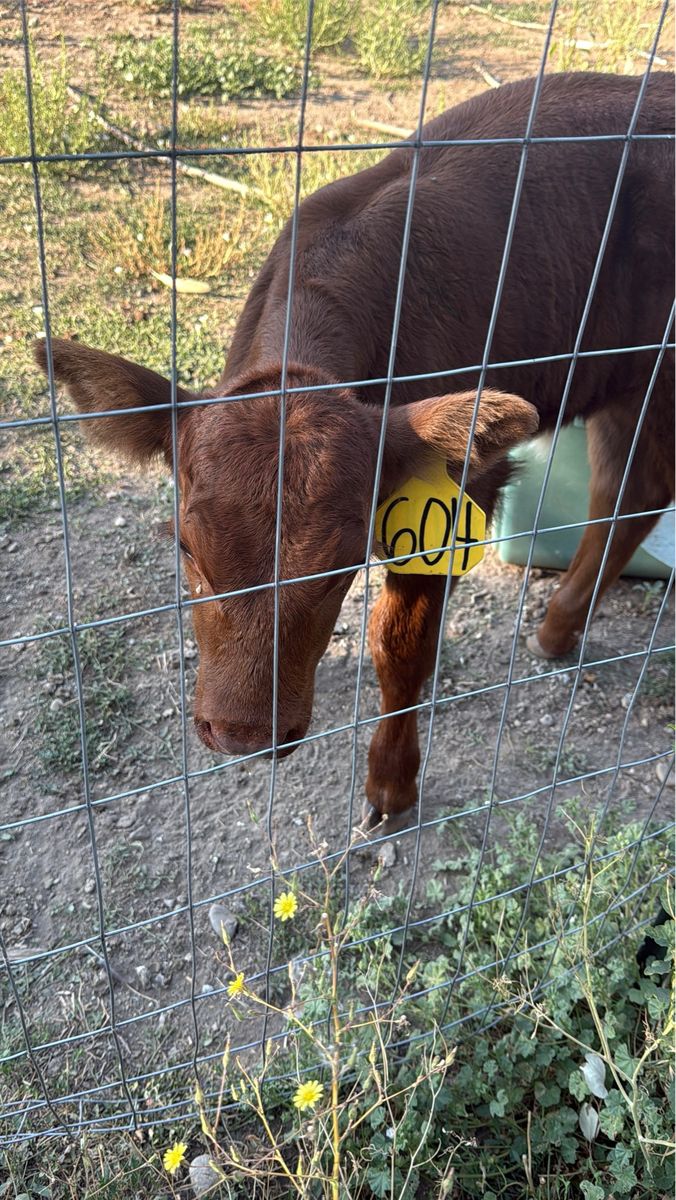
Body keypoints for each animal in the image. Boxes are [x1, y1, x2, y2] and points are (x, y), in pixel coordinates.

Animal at [35, 71, 675, 833]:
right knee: (624, 492)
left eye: (342, 564)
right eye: (185, 548)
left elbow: (400, 650)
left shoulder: (459, 493)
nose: (244, 734)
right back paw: (556, 632)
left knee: (641, 490)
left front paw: (391, 788)